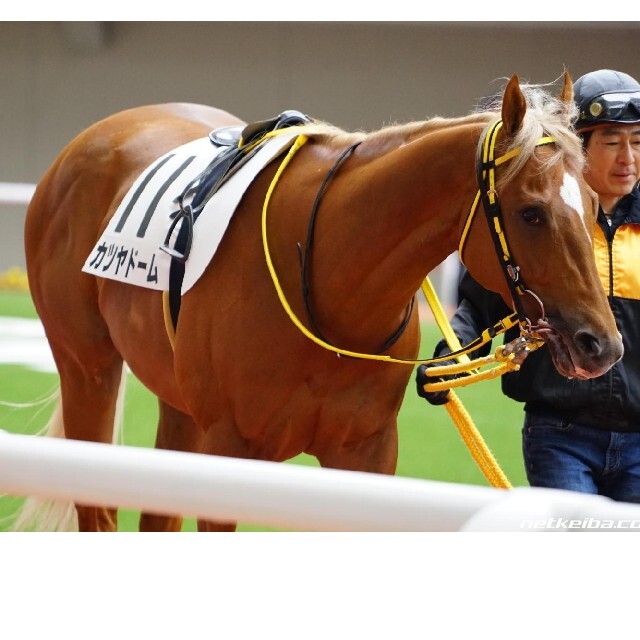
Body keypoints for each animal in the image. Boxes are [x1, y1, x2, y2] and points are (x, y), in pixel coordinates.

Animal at [18, 72, 620, 532]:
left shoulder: (364, 456)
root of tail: (91, 139)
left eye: (594, 204)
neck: (329, 278)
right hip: (88, 369)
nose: (601, 344)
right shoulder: (231, 451)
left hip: (179, 402)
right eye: (531, 212)